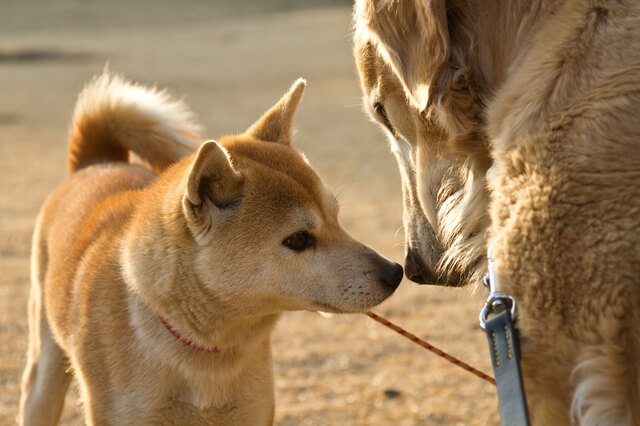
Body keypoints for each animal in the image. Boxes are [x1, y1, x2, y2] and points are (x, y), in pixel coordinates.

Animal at [18, 71, 400, 424]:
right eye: (298, 239)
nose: (395, 273)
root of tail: (97, 162)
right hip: (43, 375)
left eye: (336, 217)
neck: (207, 354)